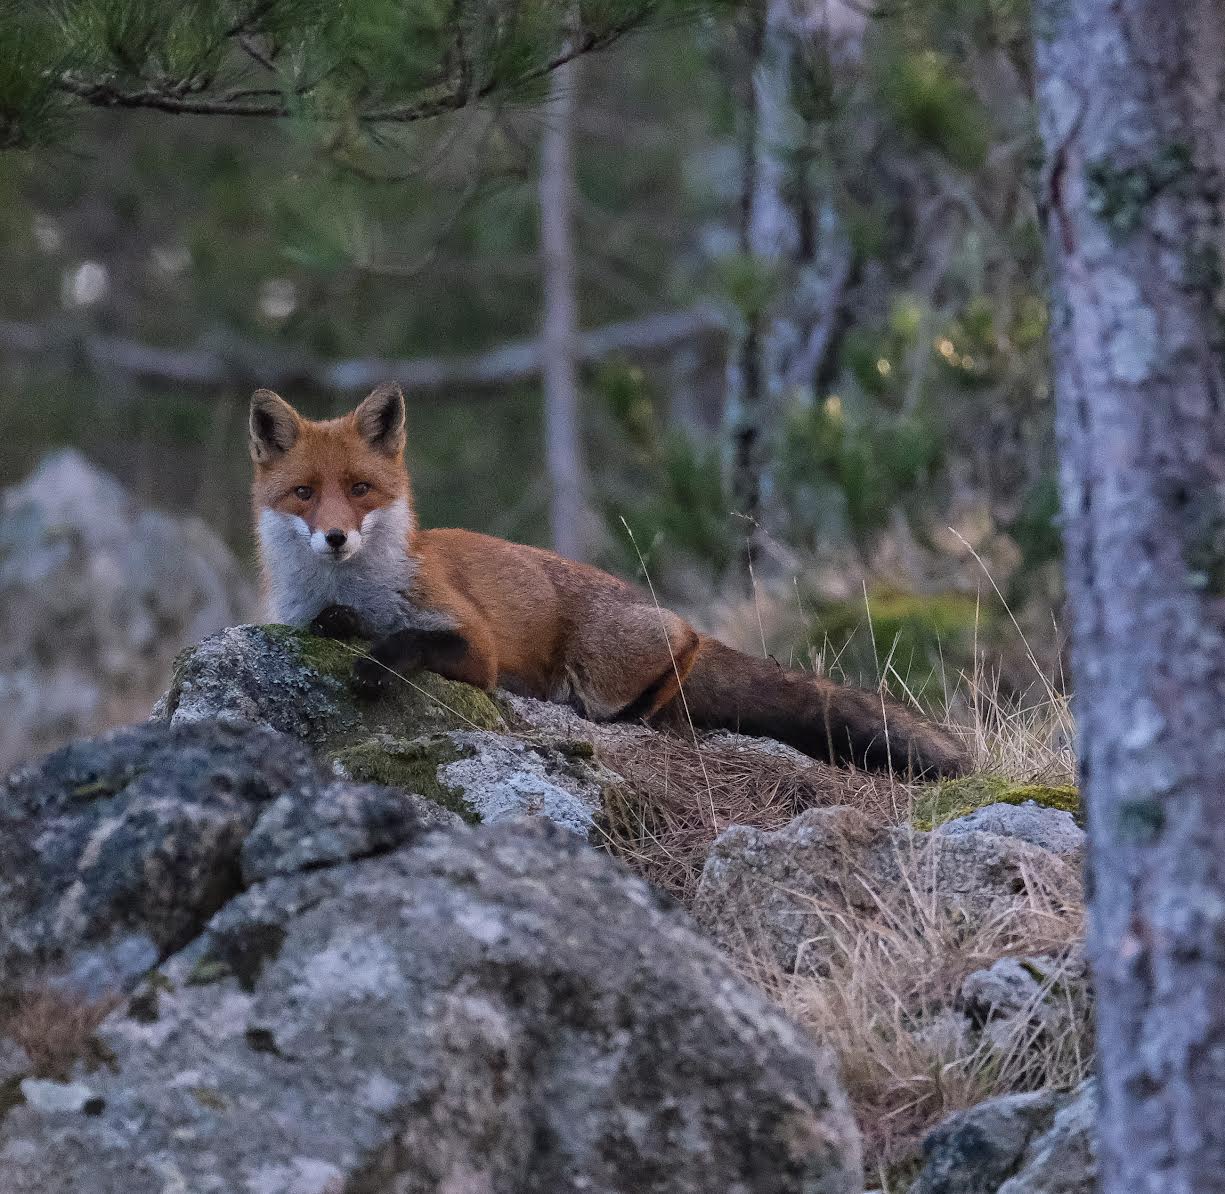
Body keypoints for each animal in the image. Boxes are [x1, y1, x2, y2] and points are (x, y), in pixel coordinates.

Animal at [249, 382, 967, 778]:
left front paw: (374, 663)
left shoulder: (475, 645)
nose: (335, 538)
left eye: (360, 490)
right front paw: (345, 628)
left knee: (676, 666)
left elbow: (411, 641)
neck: (356, 586)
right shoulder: (308, 613)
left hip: (612, 664)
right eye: (305, 493)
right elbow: (335, 624)